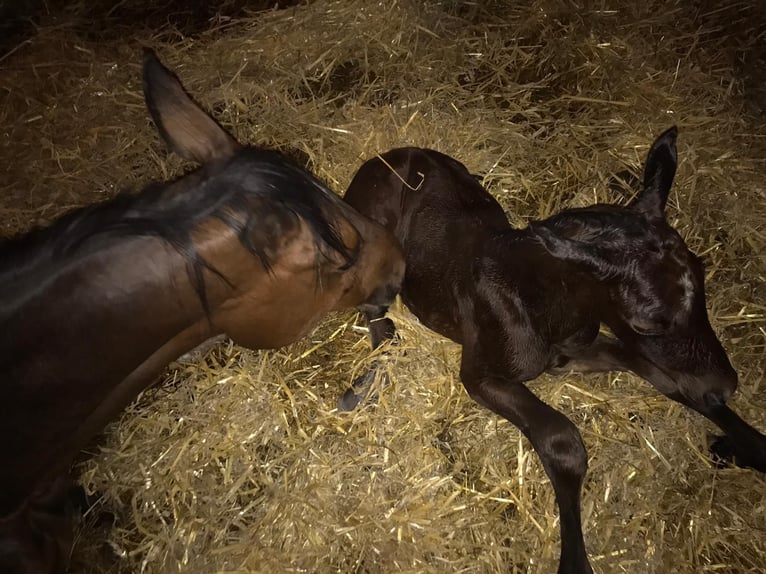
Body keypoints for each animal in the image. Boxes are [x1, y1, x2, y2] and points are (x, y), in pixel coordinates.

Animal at [342, 127, 766, 574]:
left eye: (702, 275)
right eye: (646, 322)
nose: (725, 385)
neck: (541, 301)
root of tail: (381, 158)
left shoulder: (574, 352)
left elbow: (668, 380)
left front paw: (746, 446)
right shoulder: (481, 374)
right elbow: (563, 442)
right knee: (373, 305)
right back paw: (377, 368)